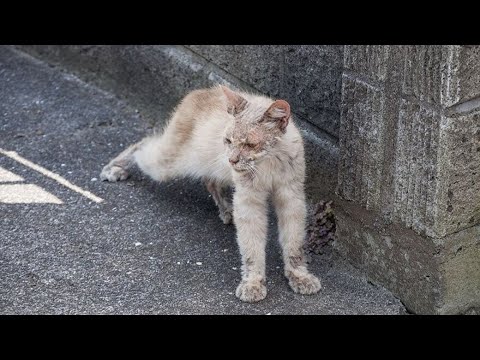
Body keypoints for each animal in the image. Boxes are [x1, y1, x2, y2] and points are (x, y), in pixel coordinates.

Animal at [99, 84, 320, 300]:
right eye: (228, 140)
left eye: (250, 144)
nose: (232, 159)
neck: (269, 162)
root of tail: (201, 91)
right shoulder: (248, 202)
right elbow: (251, 247)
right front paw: (253, 283)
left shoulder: (291, 199)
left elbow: (294, 243)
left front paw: (299, 276)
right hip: (167, 164)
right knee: (143, 144)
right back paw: (114, 168)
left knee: (209, 181)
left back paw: (226, 211)